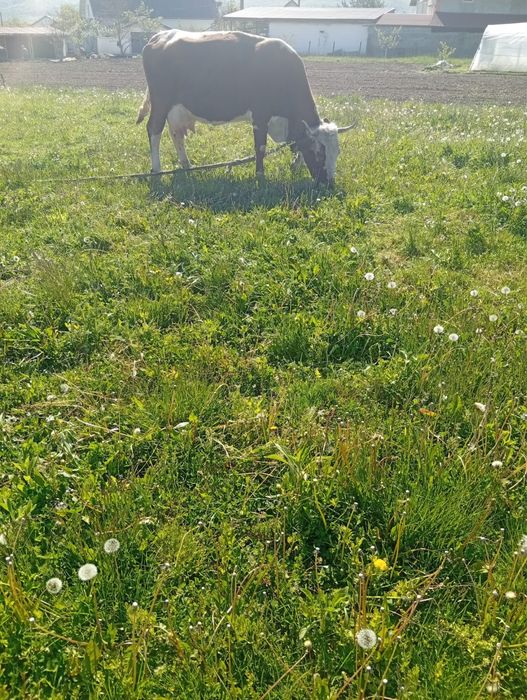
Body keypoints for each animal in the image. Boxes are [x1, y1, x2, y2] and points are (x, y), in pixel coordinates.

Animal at [137, 30, 352, 186]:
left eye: (337, 152)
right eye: (319, 152)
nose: (329, 184)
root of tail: (160, 36)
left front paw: (294, 167)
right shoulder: (260, 116)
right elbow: (260, 148)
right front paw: (260, 176)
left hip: (176, 109)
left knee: (176, 134)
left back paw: (186, 165)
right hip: (161, 102)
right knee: (154, 130)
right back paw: (157, 170)